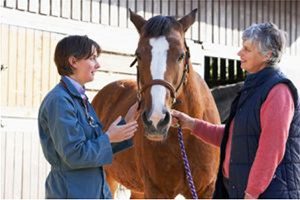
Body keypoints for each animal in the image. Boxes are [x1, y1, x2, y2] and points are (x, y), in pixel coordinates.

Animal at [91, 9, 220, 198]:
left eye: (181, 55)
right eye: (138, 55)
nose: (156, 120)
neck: (185, 138)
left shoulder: (205, 190)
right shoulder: (156, 190)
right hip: (109, 178)